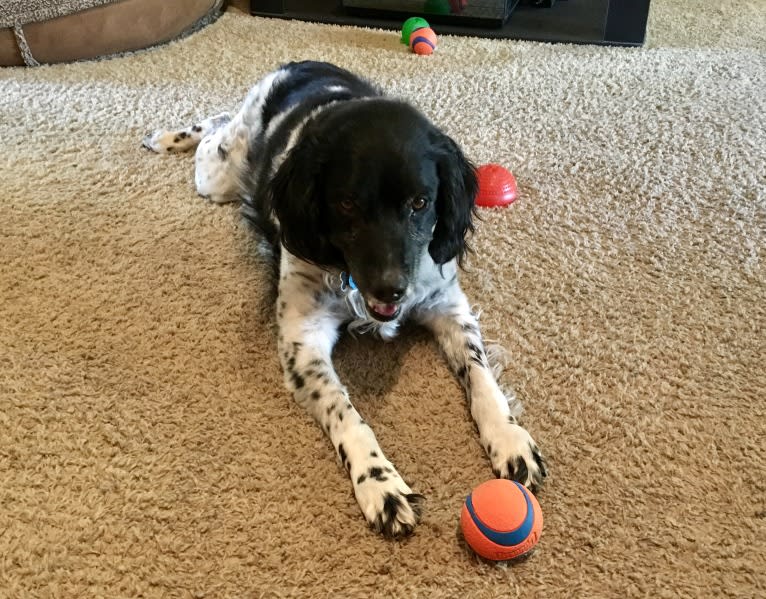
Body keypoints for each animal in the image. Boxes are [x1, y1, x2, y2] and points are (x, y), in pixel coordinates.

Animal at [144, 62, 548, 540]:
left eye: (421, 202)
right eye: (347, 203)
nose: (391, 290)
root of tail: (301, 64)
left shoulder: (446, 304)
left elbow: (482, 377)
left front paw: (508, 437)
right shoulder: (304, 341)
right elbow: (347, 414)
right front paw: (381, 485)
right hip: (217, 176)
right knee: (216, 131)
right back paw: (169, 137)